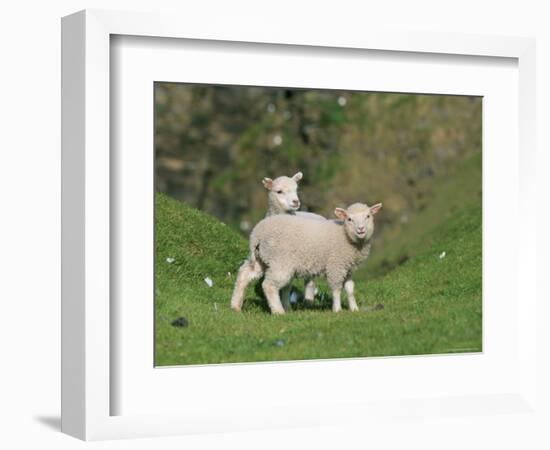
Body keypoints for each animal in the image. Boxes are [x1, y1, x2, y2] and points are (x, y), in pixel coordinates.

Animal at [231, 202, 382, 314]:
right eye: (349, 219)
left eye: (368, 216)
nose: (361, 229)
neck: (344, 235)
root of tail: (257, 233)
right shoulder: (335, 265)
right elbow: (336, 289)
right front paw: (337, 310)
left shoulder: (348, 267)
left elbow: (350, 288)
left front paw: (354, 309)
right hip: (280, 261)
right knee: (269, 285)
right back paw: (278, 311)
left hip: (261, 258)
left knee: (245, 274)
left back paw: (235, 305)